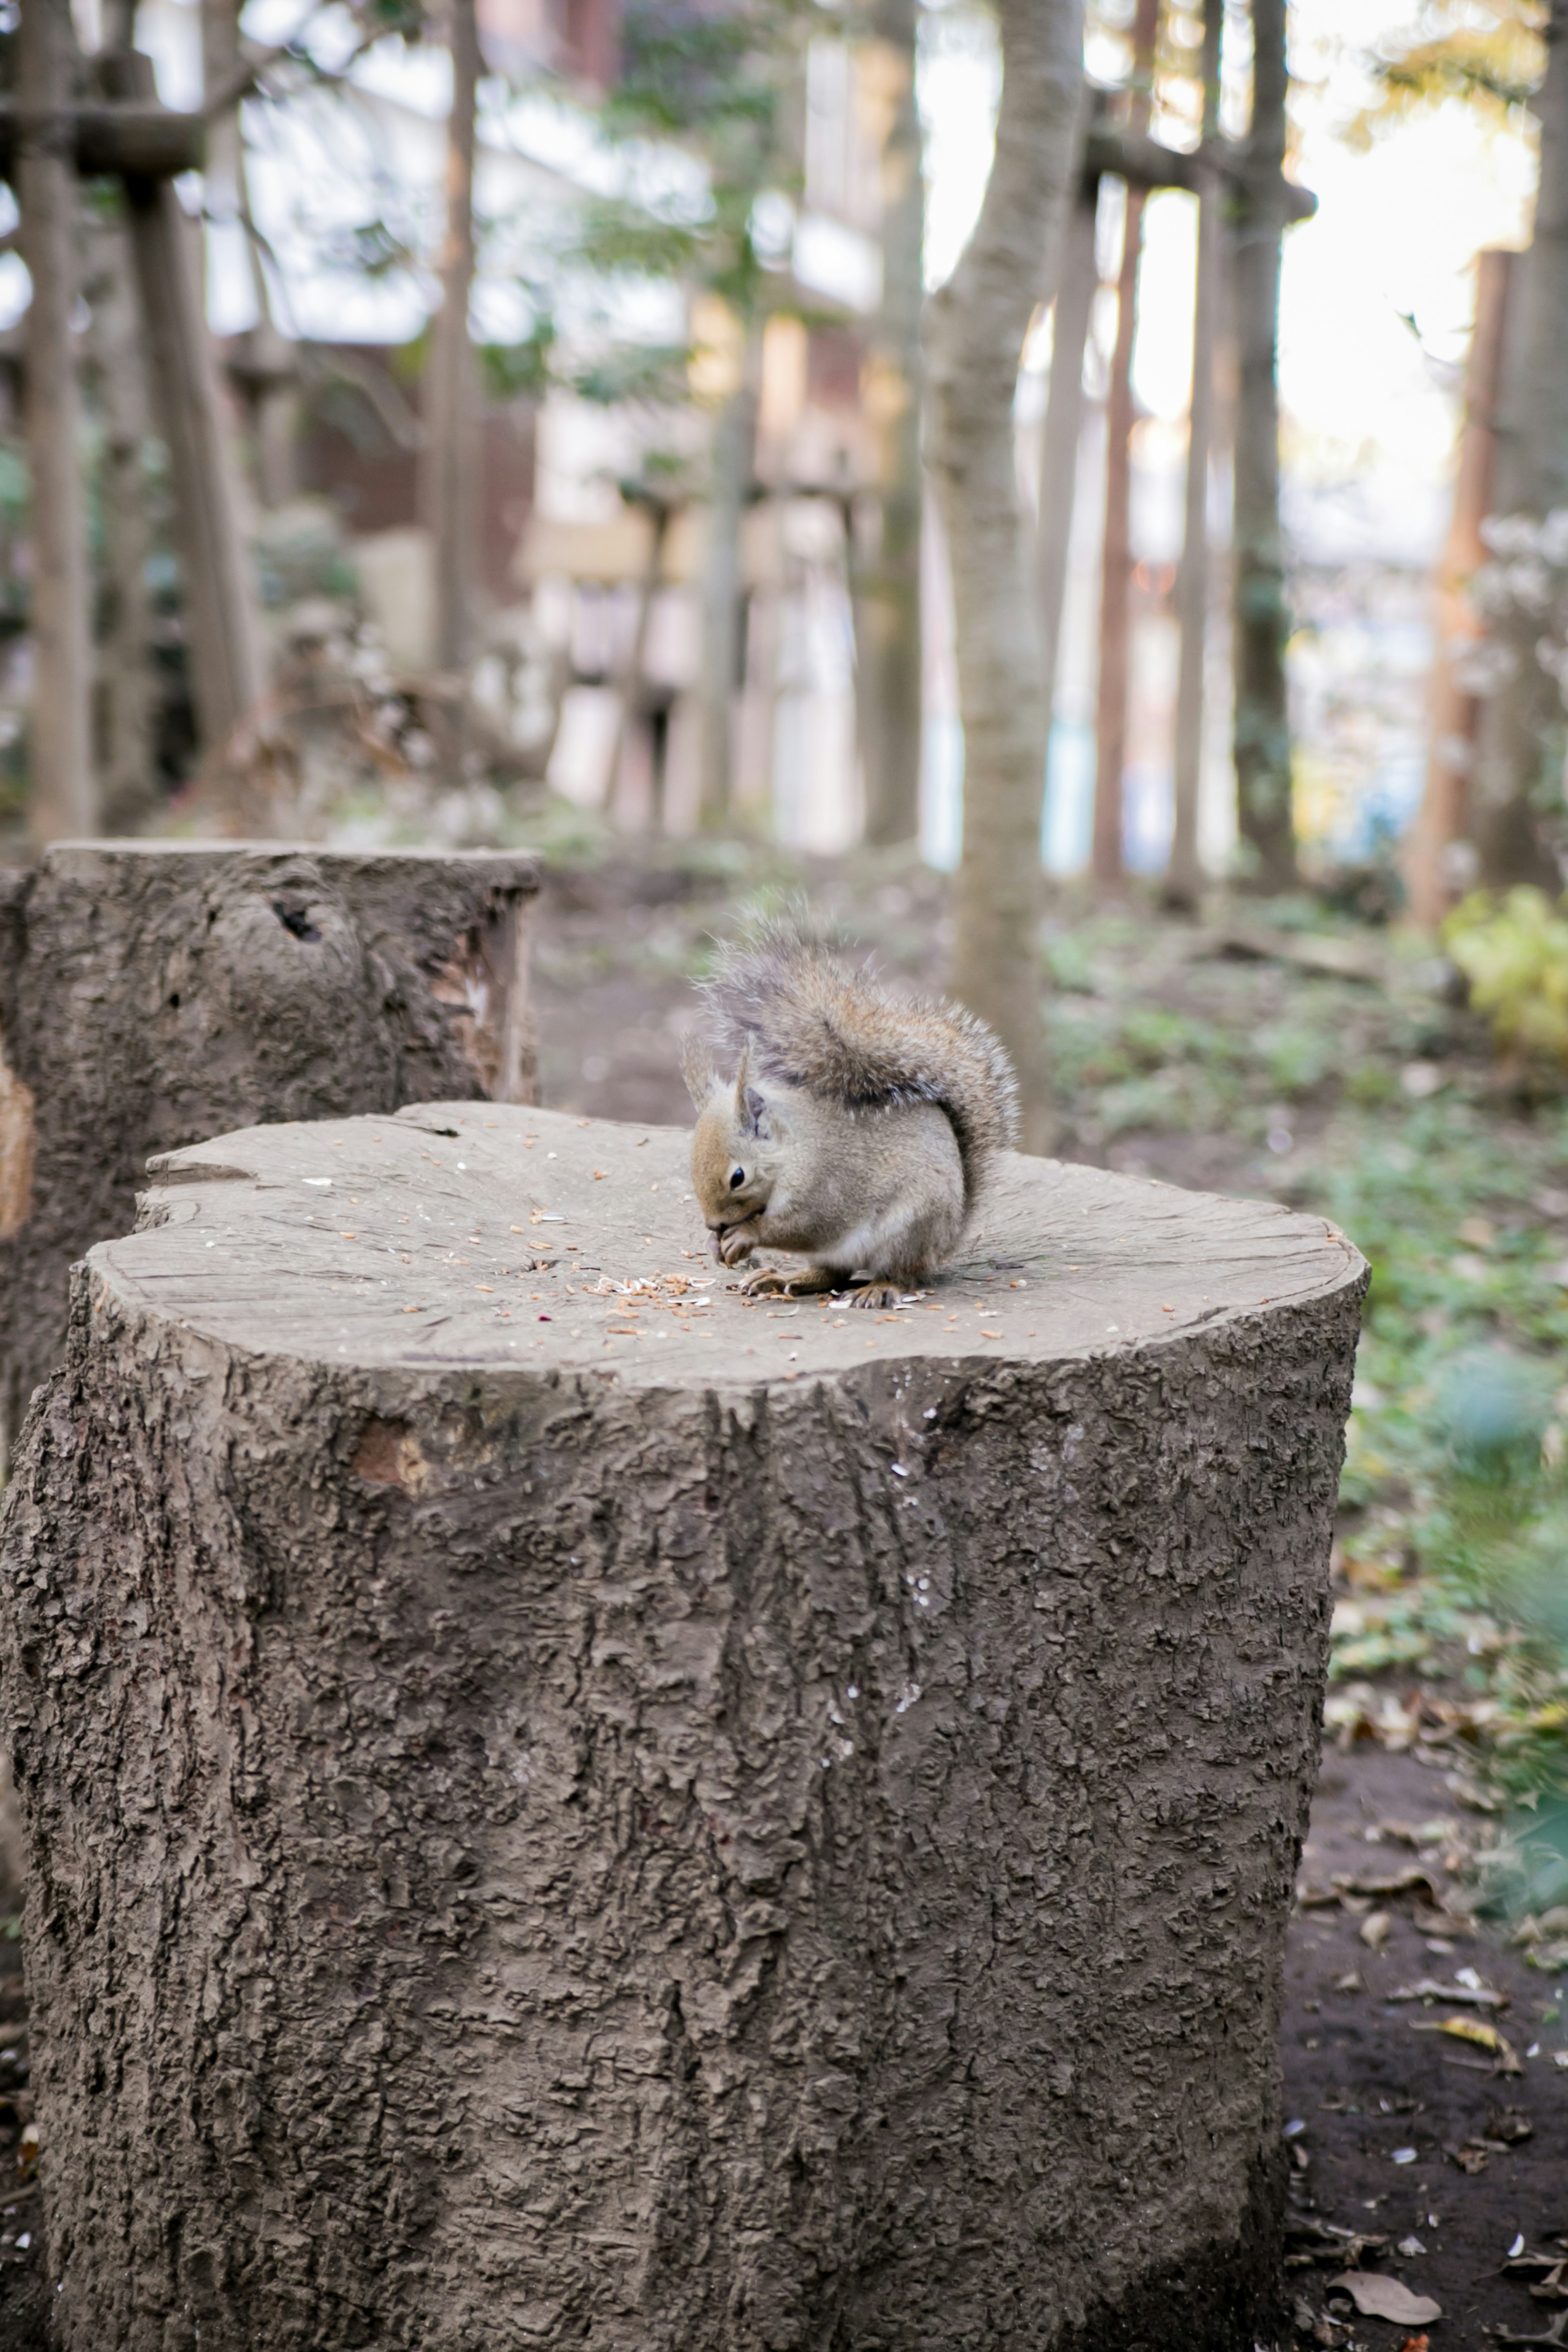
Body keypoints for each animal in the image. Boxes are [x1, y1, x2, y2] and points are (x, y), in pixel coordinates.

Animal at [682, 917, 1025, 1317]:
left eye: (738, 1177)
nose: (714, 1224)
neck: (792, 1150)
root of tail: (947, 1239)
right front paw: (713, 1244)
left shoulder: (824, 1185)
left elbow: (806, 1226)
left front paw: (747, 1235)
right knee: (831, 1274)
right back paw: (785, 1278)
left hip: (907, 1228)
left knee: (901, 1275)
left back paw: (878, 1288)